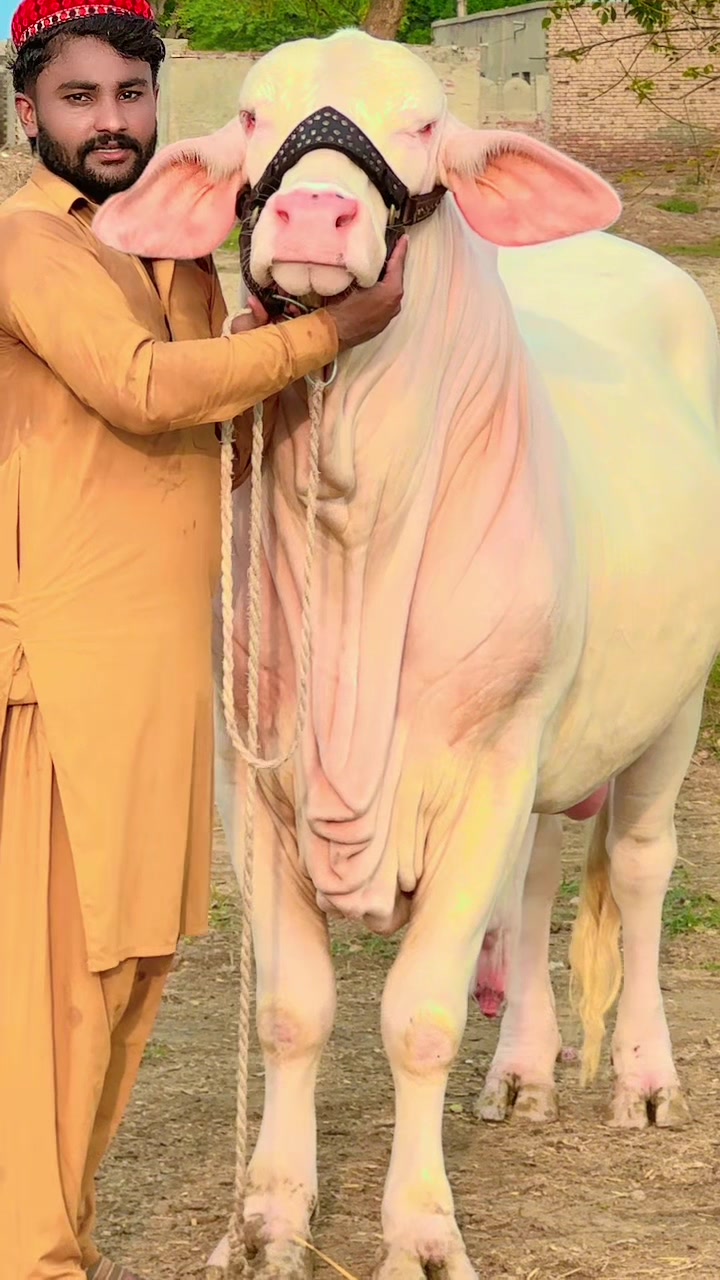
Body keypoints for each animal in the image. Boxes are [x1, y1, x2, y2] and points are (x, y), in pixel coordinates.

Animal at [93, 28, 720, 1280]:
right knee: (536, 883)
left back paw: (642, 1077)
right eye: (250, 114)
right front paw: (270, 1215)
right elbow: (294, 1007)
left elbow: (419, 1018)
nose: (314, 213)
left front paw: (424, 1231)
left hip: (670, 709)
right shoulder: (253, 783)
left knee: (636, 868)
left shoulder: (490, 764)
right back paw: (522, 1071)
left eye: (426, 125)